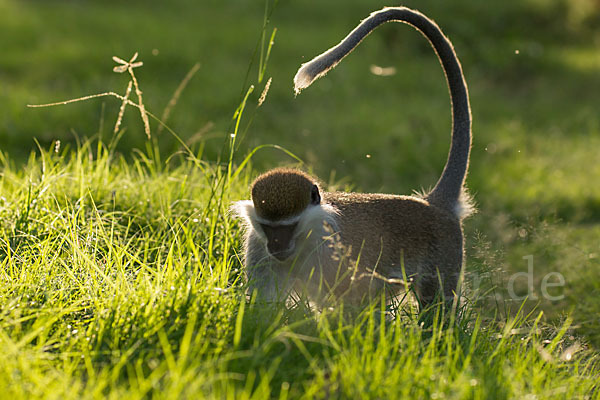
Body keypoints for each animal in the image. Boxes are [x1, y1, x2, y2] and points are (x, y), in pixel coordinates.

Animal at [234, 6, 474, 308]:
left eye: (288, 227)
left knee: (436, 305)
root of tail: (435, 204)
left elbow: (351, 303)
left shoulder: (333, 252)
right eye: (269, 227)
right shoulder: (257, 245)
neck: (307, 239)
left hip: (445, 255)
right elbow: (263, 308)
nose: (276, 246)